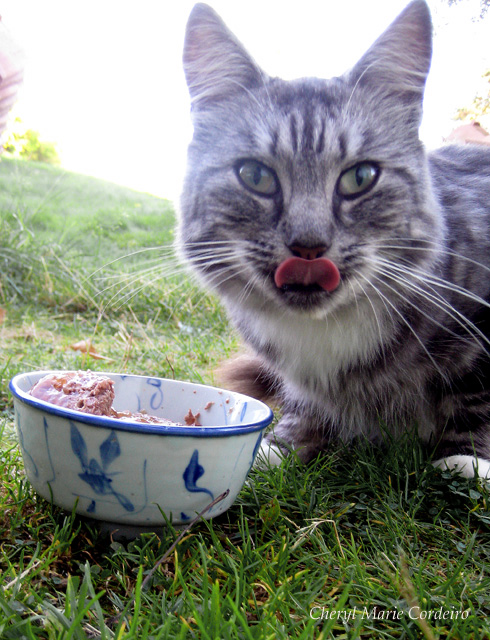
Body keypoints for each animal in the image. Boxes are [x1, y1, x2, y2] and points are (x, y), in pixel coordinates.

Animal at [178, 0, 490, 480]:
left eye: (360, 177)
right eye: (255, 176)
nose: (309, 246)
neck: (325, 329)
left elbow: (477, 397)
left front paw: (468, 461)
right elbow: (303, 407)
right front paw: (280, 447)